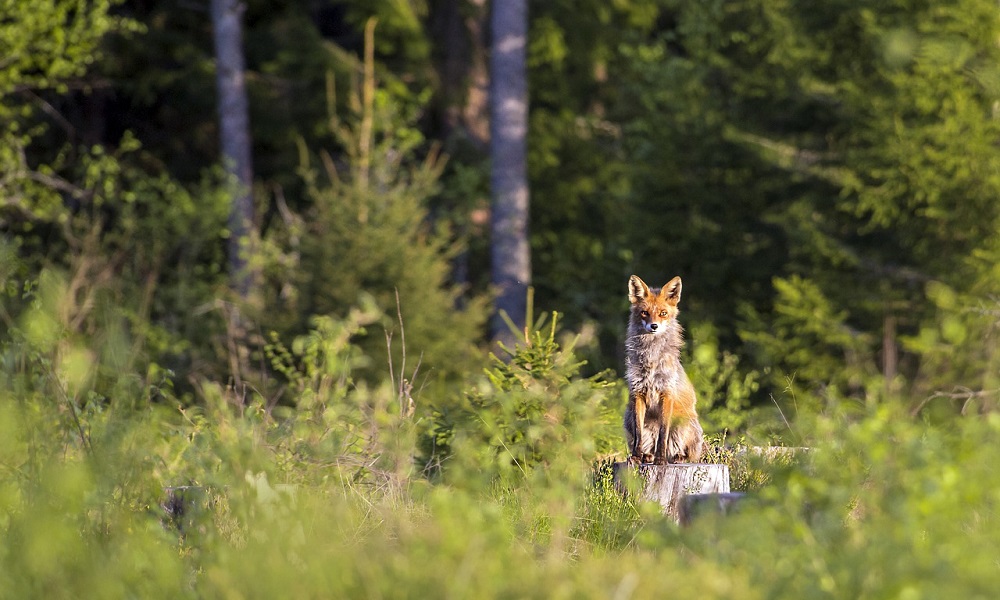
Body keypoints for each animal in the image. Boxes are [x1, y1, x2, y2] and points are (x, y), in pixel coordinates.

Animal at [620, 274, 708, 466]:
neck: (651, 360)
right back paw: (647, 456)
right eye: (644, 313)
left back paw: (677, 457)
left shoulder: (666, 393)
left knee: (685, 452)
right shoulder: (638, 393)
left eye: (663, 313)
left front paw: (661, 460)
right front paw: (636, 457)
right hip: (628, 417)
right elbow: (639, 433)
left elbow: (663, 434)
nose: (654, 326)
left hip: (685, 423)